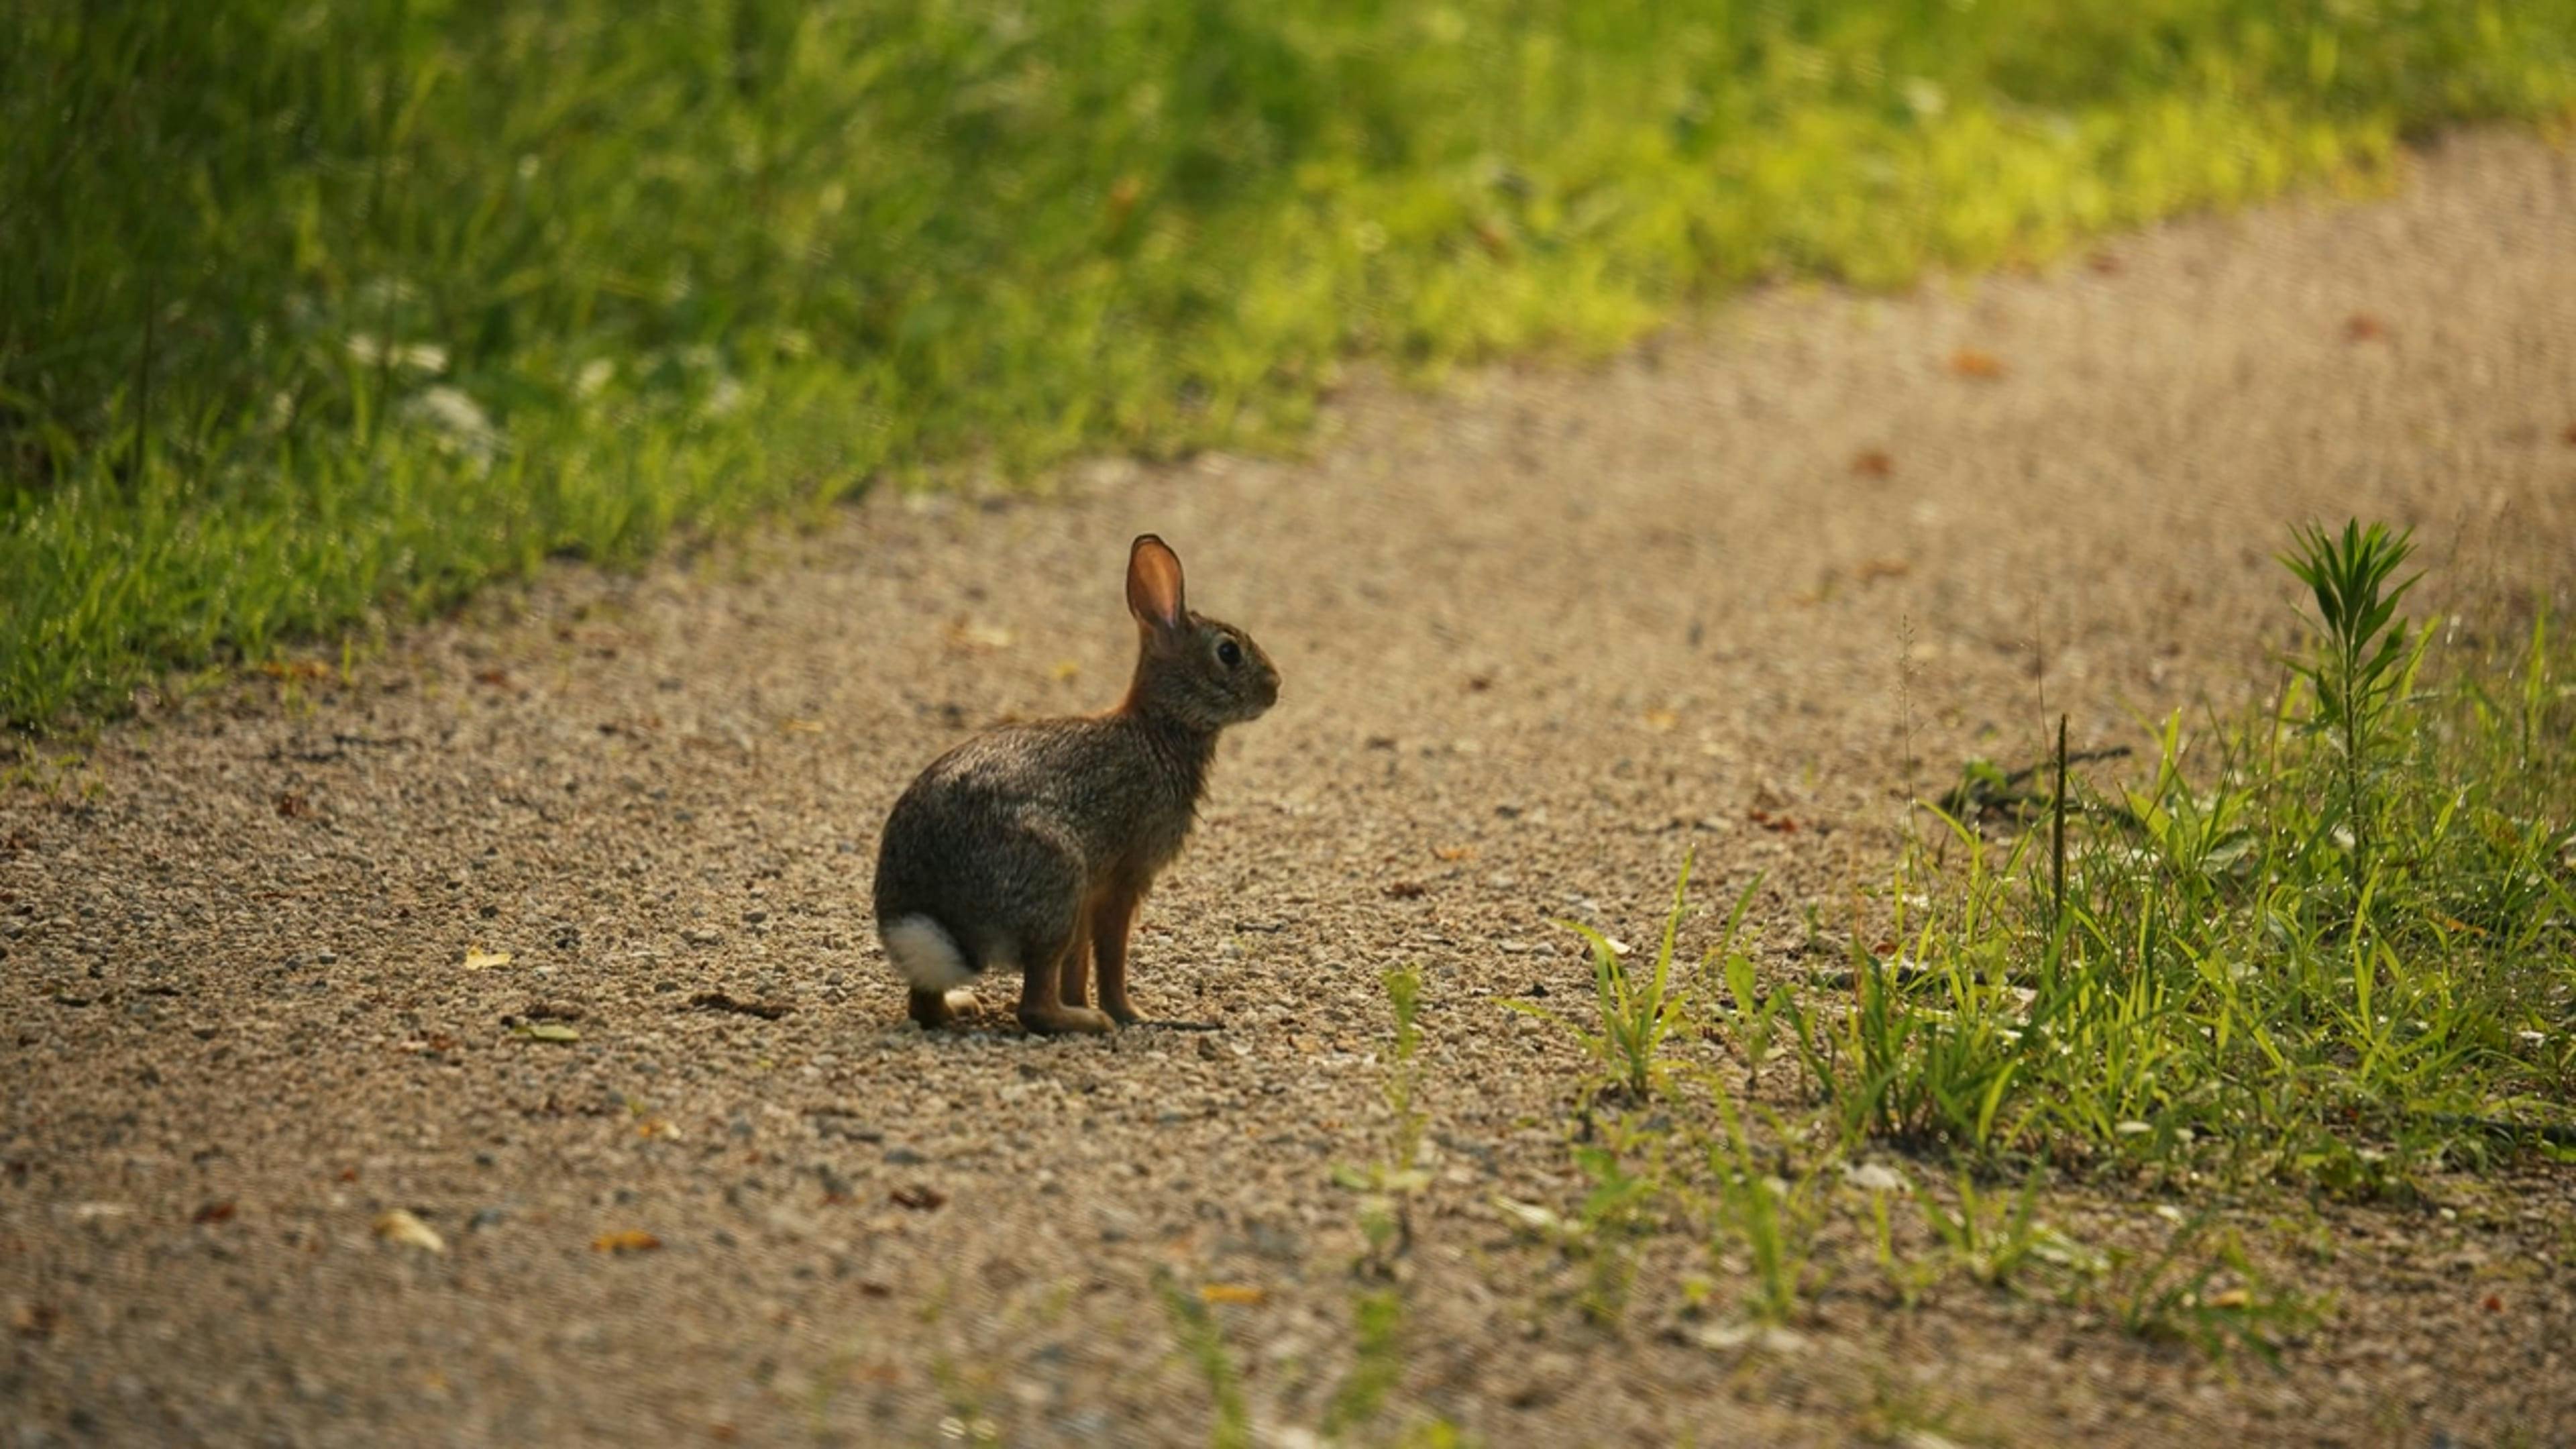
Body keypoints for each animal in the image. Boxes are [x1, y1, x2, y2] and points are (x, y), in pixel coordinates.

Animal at [873, 534, 1280, 1034]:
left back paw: (967, 1007)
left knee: (926, 1006)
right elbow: (1110, 957)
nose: (1275, 687)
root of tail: (932, 915)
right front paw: (1134, 1015)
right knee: (1033, 1007)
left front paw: (1091, 1003)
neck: (1158, 726)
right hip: (1055, 887)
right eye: (1228, 653)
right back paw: (1091, 1022)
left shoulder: (1093, 893)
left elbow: (1080, 965)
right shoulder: (1122, 879)